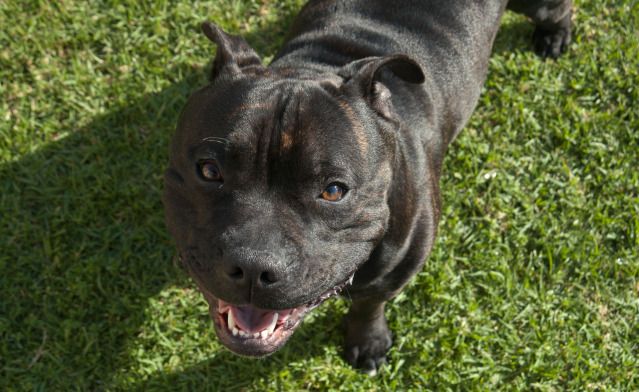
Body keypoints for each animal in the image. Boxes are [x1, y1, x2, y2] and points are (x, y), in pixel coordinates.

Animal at [162, 0, 572, 374]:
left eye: (333, 191)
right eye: (209, 171)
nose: (252, 266)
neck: (318, 64)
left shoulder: (397, 269)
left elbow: (369, 304)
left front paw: (368, 341)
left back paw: (555, 37)